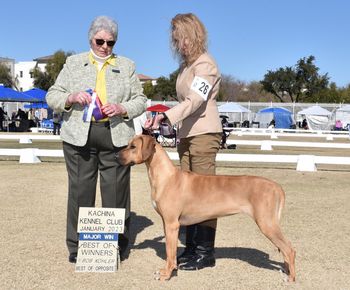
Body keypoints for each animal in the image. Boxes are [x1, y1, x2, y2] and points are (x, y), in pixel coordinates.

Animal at [117, 135, 296, 282]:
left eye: (133, 146)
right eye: (128, 145)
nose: (116, 156)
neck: (166, 177)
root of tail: (277, 186)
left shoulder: (172, 224)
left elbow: (170, 252)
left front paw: (166, 274)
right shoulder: (166, 222)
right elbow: (170, 251)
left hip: (267, 223)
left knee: (289, 249)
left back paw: (291, 278)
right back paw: (287, 271)